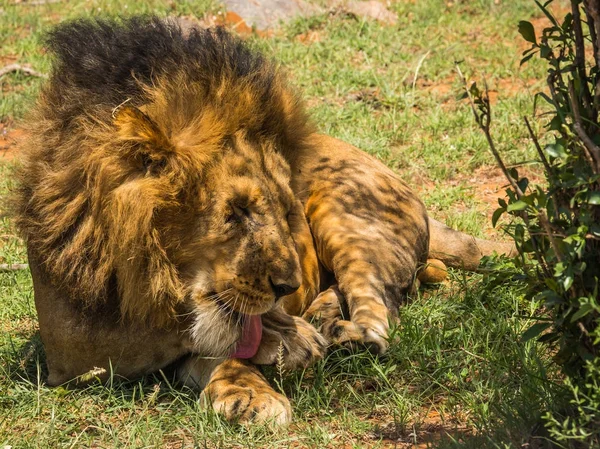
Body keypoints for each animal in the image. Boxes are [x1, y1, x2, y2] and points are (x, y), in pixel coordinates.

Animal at [11, 16, 512, 424]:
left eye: (287, 211)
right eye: (236, 212)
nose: (288, 288)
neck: (144, 284)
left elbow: (223, 341)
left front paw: (276, 353)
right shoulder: (74, 359)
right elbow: (209, 342)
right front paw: (278, 351)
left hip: (345, 213)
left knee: (381, 308)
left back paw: (347, 335)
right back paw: (324, 318)